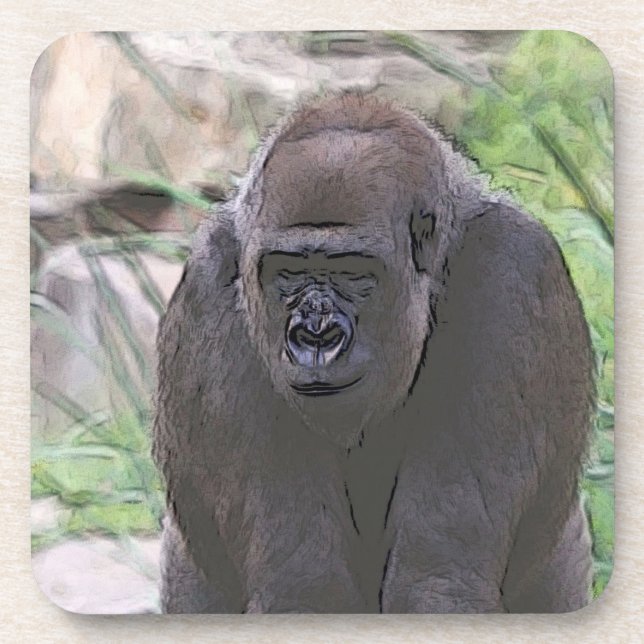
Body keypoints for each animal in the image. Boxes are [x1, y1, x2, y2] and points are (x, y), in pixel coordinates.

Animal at [153, 94, 594, 614]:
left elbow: (438, 580)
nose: (315, 335)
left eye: (352, 271)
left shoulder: (515, 272)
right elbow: (302, 588)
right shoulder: (210, 284)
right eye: (288, 270)